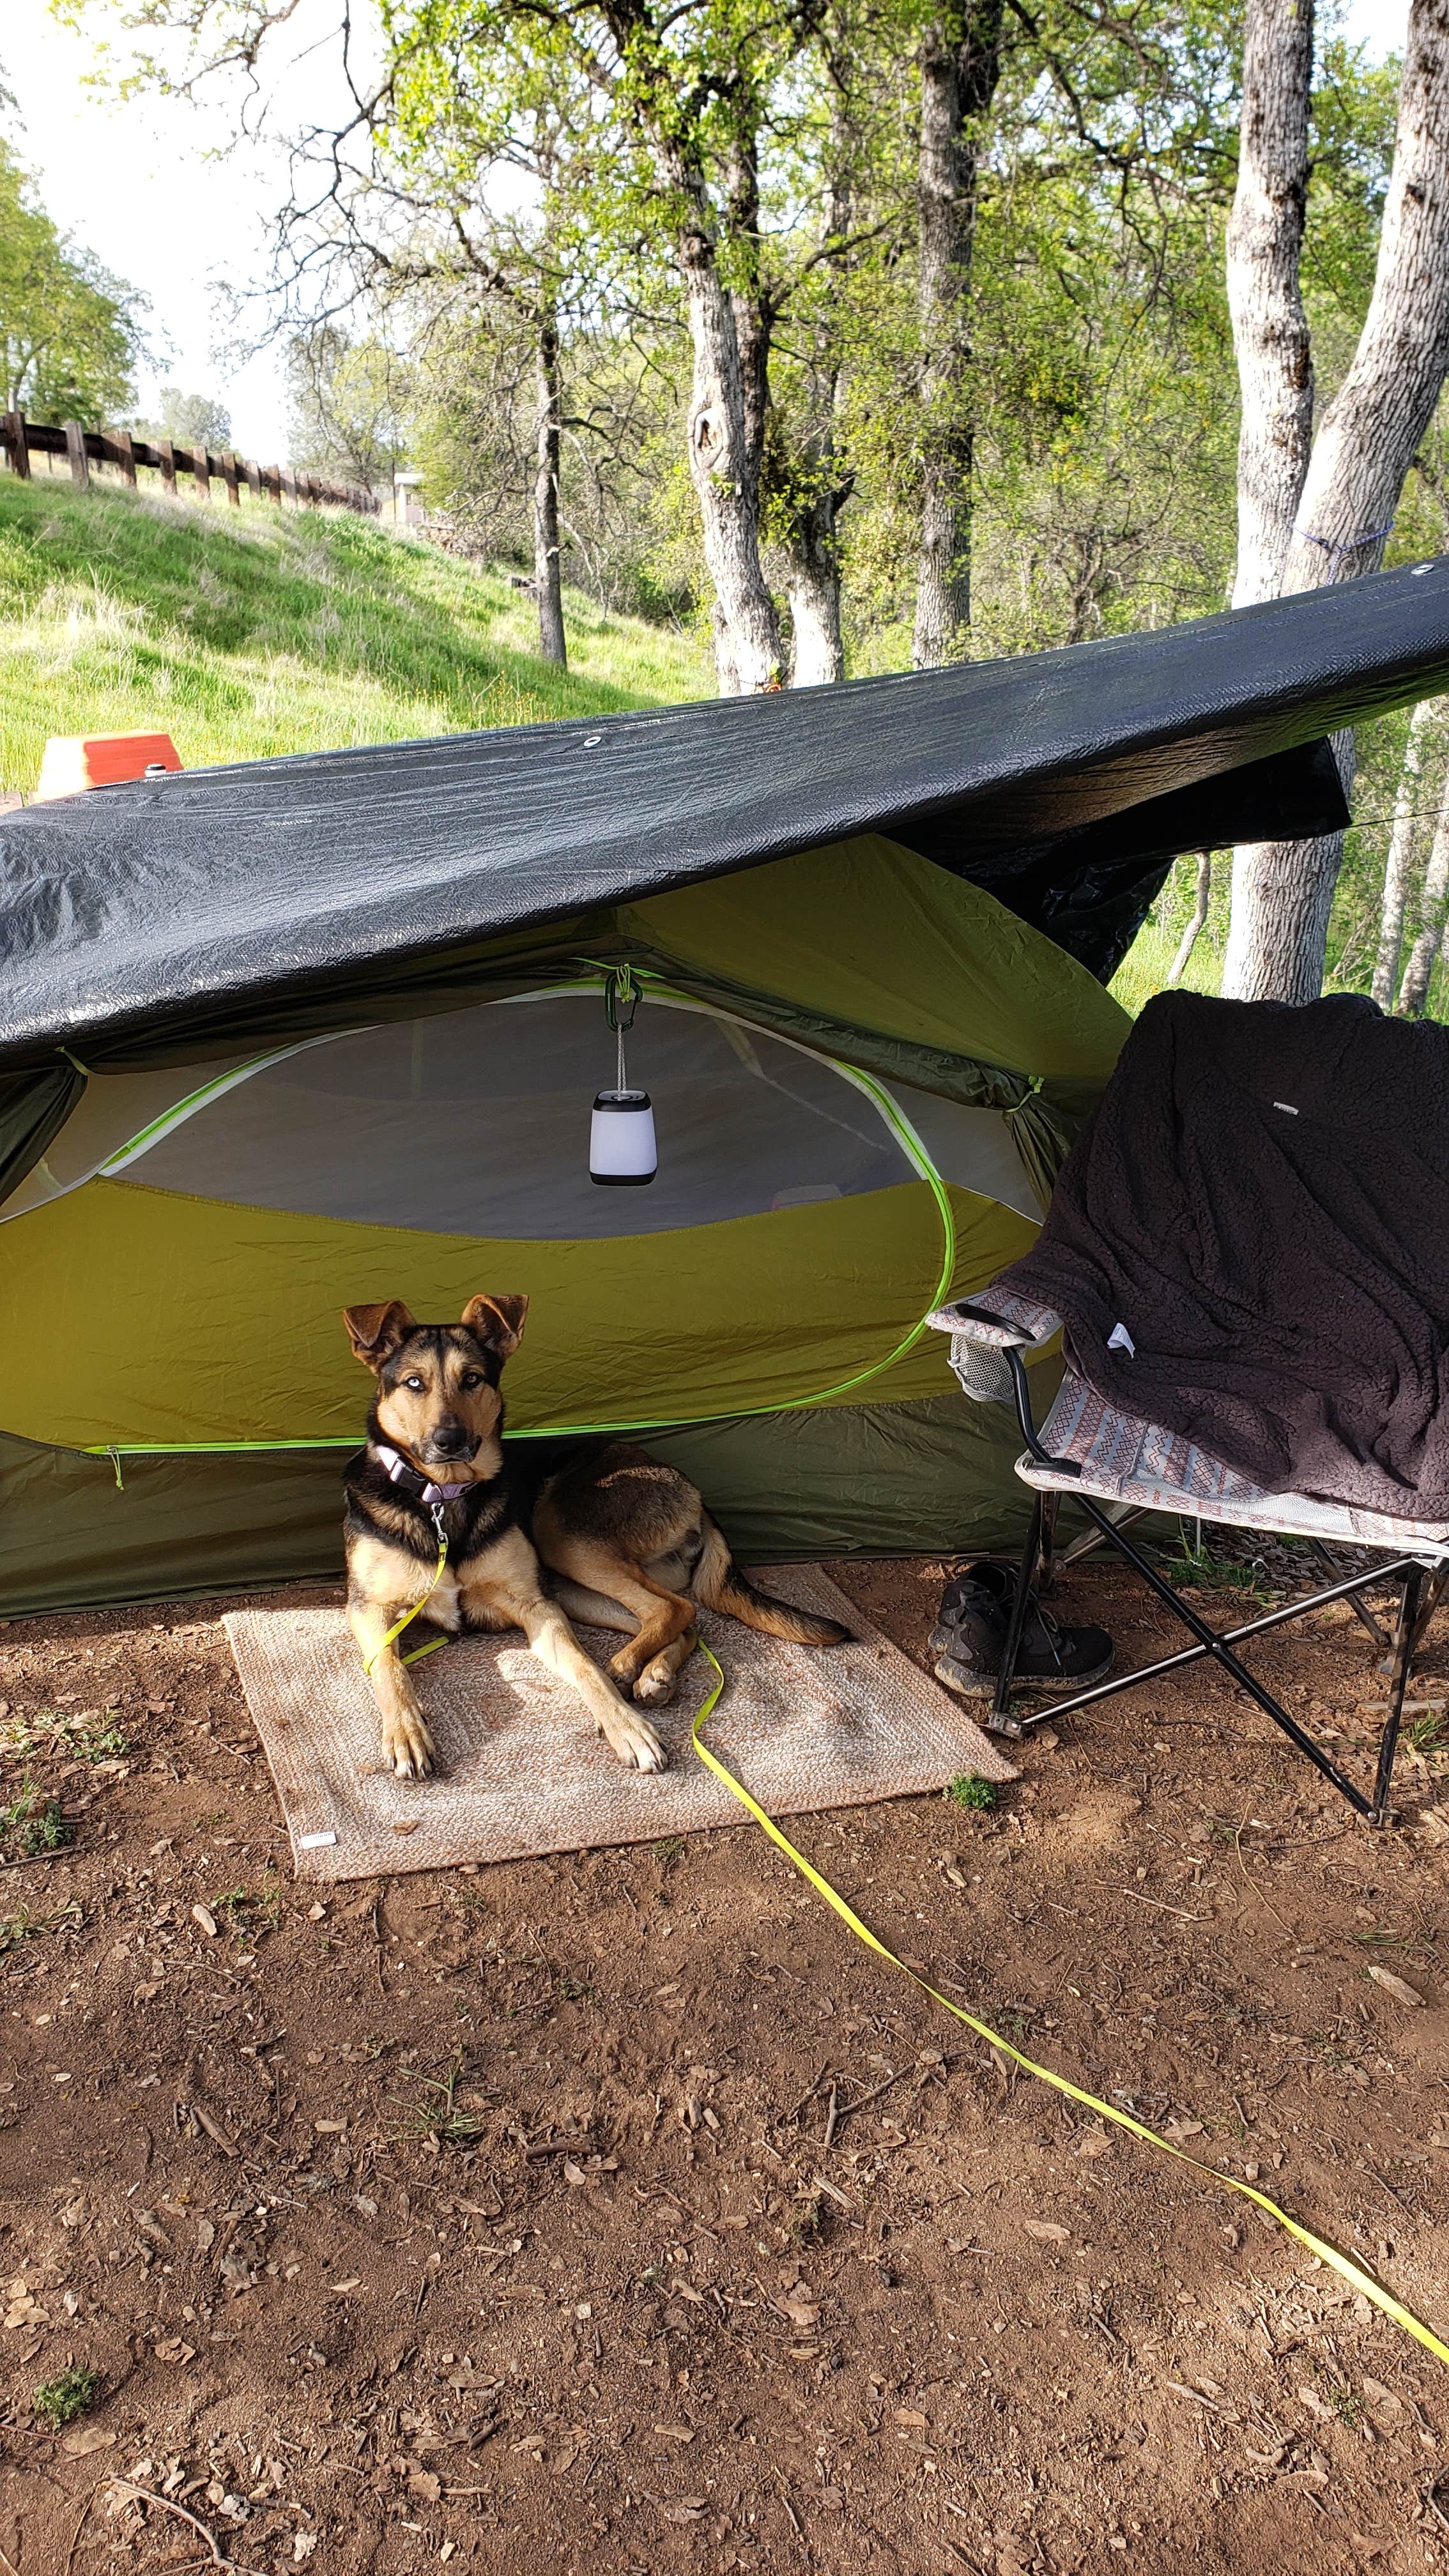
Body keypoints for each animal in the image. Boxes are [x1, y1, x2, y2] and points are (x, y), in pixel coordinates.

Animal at [340, 1298, 845, 1782]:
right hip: (572, 1585)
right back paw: (655, 1673)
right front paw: (406, 1734)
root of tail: (689, 1486)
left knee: (674, 1608)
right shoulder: (368, 1608)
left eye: (472, 1379)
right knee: (680, 1619)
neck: (441, 1501)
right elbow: (389, 1669)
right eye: (414, 1383)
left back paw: (627, 1666)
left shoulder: (537, 1607)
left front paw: (627, 1726)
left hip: (562, 1537)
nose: (451, 1441)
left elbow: (586, 1668)